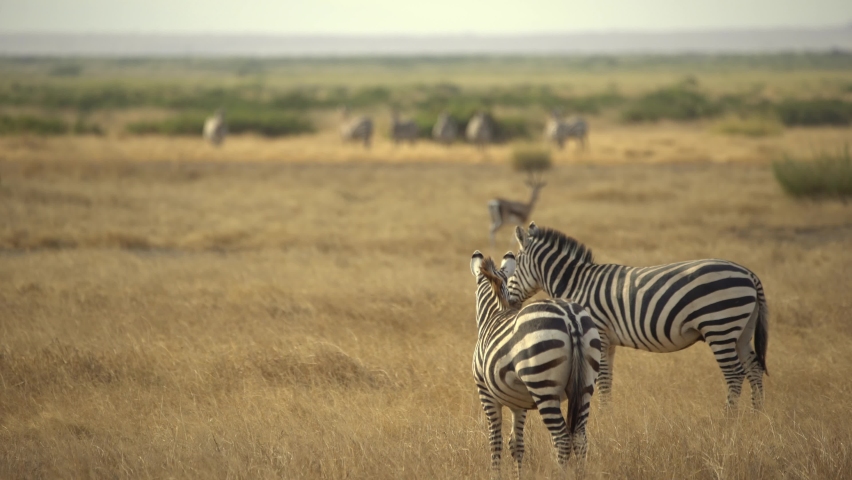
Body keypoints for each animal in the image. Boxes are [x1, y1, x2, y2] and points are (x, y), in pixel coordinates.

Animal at [470, 250, 601, 478]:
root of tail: (570, 318)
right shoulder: (519, 401)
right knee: (580, 438)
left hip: (543, 384)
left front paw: (496, 475)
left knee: (562, 439)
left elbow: (495, 442)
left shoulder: (485, 392)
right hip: (585, 384)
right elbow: (517, 445)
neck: (495, 313)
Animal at [507, 223, 769, 410]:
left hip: (719, 325)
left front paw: (603, 416)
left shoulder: (598, 333)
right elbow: (608, 380)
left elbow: (601, 379)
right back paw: (756, 417)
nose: (509, 302)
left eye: (514, 265)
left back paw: (729, 420)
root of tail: (749, 273)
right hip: (741, 331)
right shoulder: (607, 340)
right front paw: (608, 415)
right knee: (754, 368)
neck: (577, 283)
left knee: (735, 374)